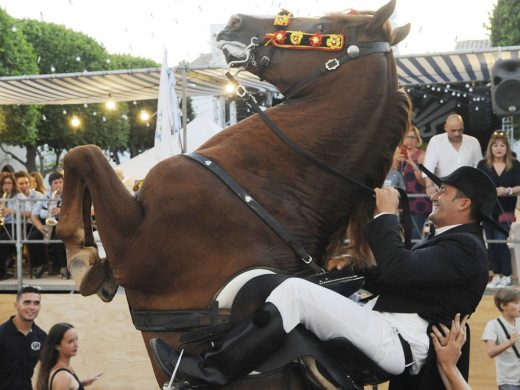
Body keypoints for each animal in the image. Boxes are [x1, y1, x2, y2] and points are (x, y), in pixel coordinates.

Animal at [58, 1, 410, 388]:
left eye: (321, 27)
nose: (235, 21)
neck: (265, 188)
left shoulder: (133, 247)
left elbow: (83, 154)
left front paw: (82, 258)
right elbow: (82, 155)